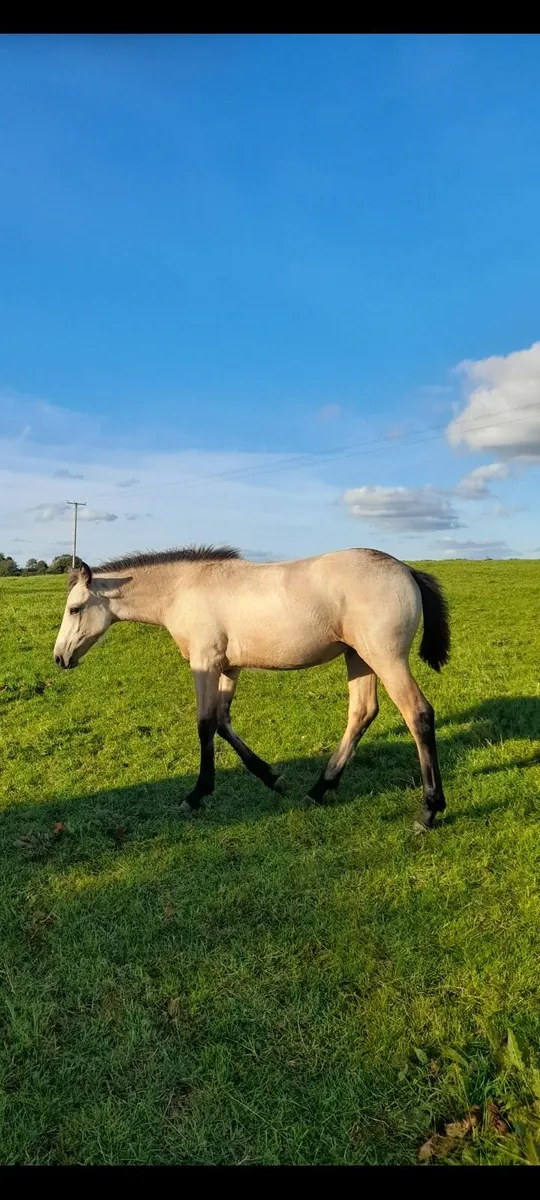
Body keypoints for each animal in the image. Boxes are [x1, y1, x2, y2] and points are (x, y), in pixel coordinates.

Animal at [53, 545, 450, 830]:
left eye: (74, 609)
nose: (60, 658)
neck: (183, 589)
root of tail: (406, 569)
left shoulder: (205, 663)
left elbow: (205, 724)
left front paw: (196, 794)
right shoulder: (229, 667)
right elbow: (222, 721)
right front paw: (272, 777)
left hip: (384, 657)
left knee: (418, 714)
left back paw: (428, 811)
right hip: (358, 657)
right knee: (362, 712)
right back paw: (319, 789)